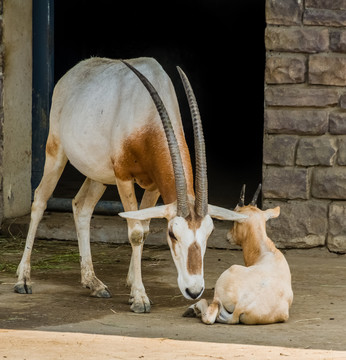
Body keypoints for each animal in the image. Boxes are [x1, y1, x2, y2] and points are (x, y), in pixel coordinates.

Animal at [182, 184, 294, 324]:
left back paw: (192, 309)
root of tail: (243, 306)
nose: (228, 236)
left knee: (210, 314)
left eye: (234, 221)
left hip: (223, 285)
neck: (267, 253)